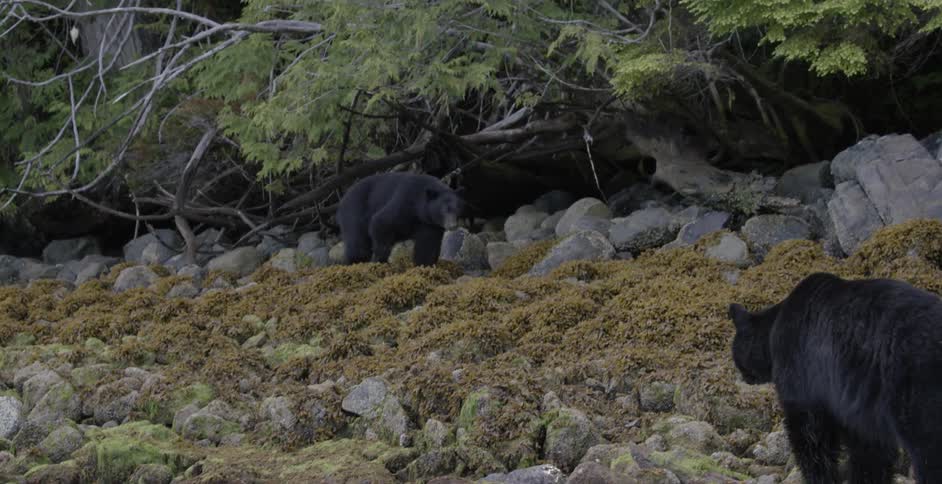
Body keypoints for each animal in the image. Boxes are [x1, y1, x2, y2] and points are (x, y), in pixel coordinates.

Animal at [336, 172, 465, 266]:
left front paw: (424, 265)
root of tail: (344, 197)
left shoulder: (429, 224)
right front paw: (380, 258)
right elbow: (381, 221)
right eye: (445, 210)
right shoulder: (404, 201)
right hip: (355, 210)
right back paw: (355, 262)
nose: (452, 225)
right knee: (357, 243)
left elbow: (427, 245)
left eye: (457, 209)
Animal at [728, 272, 942, 484]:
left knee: (928, 448)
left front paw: (818, 476)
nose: (743, 377)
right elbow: (869, 447)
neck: (774, 330)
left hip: (914, 389)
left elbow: (809, 429)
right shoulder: (861, 404)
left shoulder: (801, 366)